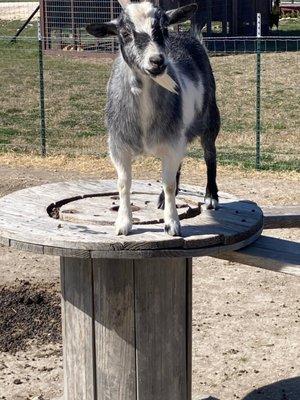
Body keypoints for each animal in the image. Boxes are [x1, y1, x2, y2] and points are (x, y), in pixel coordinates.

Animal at [86, 0, 220, 236]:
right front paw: (123, 223)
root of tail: (189, 36)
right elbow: (124, 183)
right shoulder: (118, 146)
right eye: (125, 33)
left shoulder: (173, 141)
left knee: (210, 156)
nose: (157, 60)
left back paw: (211, 196)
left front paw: (172, 223)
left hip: (209, 119)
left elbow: (169, 184)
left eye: (164, 28)